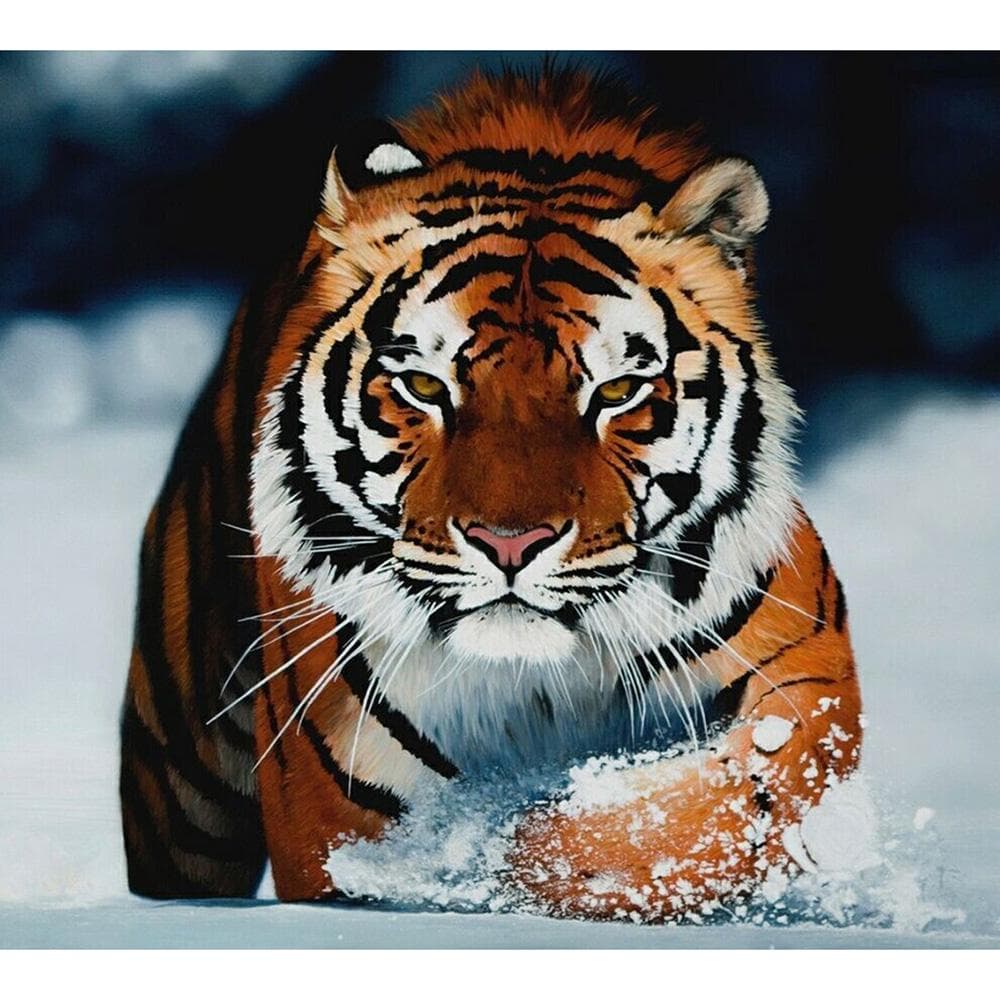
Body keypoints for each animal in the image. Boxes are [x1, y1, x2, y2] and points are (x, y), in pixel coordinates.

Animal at [119, 67, 862, 921]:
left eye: (616, 391)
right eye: (423, 386)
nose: (511, 546)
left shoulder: (807, 672)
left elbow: (701, 811)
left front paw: (519, 854)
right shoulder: (333, 796)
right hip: (181, 781)